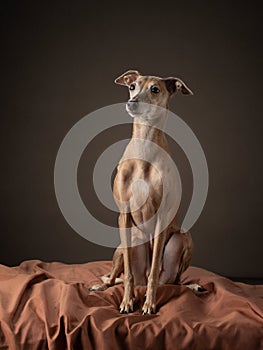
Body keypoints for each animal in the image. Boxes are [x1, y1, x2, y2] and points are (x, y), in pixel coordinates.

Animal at [91, 69, 202, 314]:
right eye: (132, 86)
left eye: (155, 89)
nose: (132, 103)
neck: (145, 147)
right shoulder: (123, 215)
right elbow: (128, 276)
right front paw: (127, 301)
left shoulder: (162, 217)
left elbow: (153, 276)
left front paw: (149, 304)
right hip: (125, 245)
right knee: (116, 277)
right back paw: (103, 286)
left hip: (183, 239)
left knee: (172, 281)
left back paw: (192, 286)